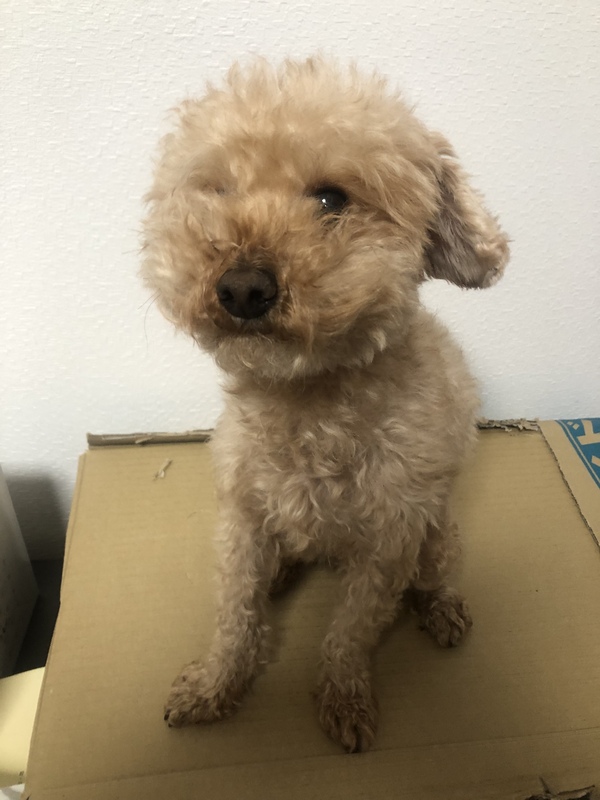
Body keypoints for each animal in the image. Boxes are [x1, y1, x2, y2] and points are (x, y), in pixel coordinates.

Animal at [142, 57, 509, 753]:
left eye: (331, 200)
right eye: (218, 191)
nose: (241, 288)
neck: (310, 405)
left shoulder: (389, 541)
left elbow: (351, 632)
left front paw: (344, 699)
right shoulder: (241, 518)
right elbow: (235, 614)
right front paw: (213, 685)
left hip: (437, 533)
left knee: (436, 573)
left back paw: (441, 609)